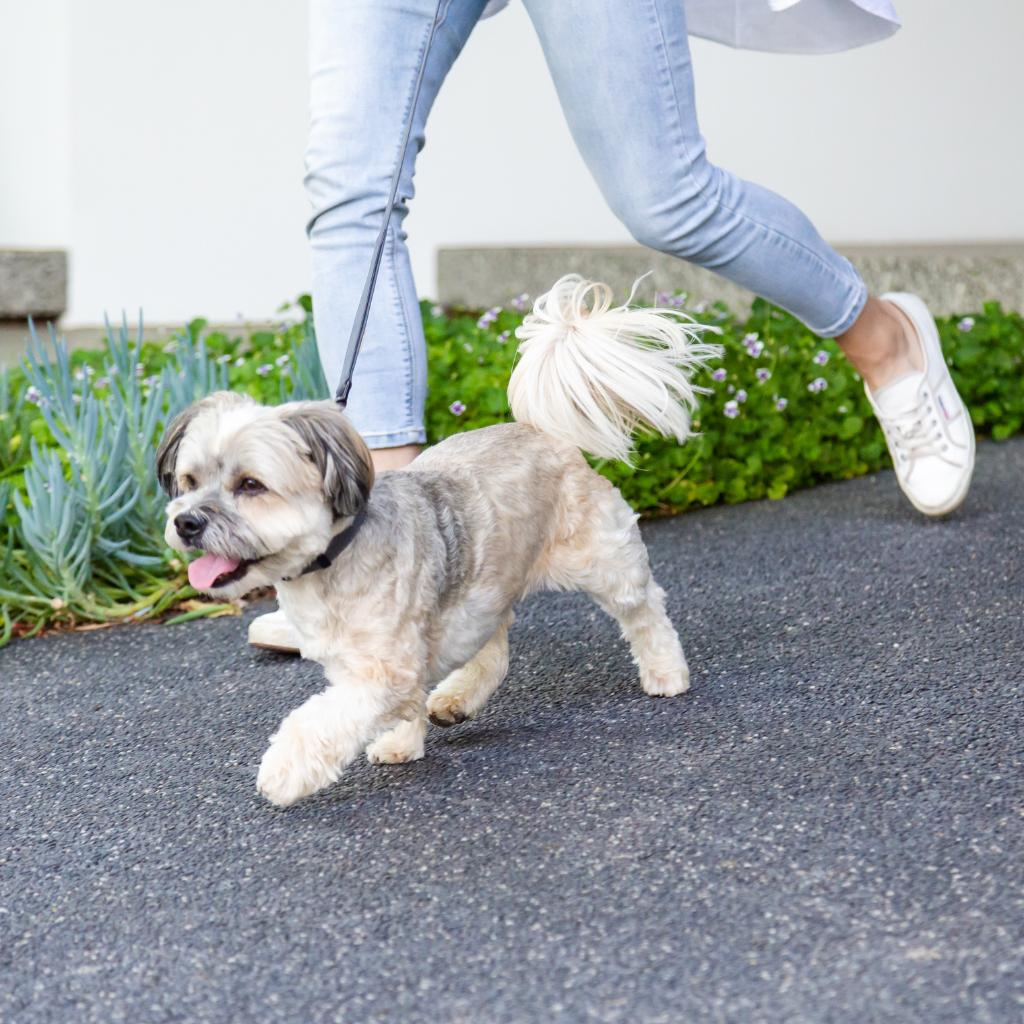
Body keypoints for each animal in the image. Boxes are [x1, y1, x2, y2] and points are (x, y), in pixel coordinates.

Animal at [157, 276, 720, 802]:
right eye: (188, 481)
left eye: (251, 485)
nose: (187, 522)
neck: (333, 562)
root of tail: (541, 432)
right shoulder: (380, 659)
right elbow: (396, 703)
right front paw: (401, 742)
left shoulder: (382, 668)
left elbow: (321, 720)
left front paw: (285, 770)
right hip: (480, 590)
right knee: (493, 650)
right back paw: (457, 698)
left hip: (602, 560)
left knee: (645, 610)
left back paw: (667, 673)